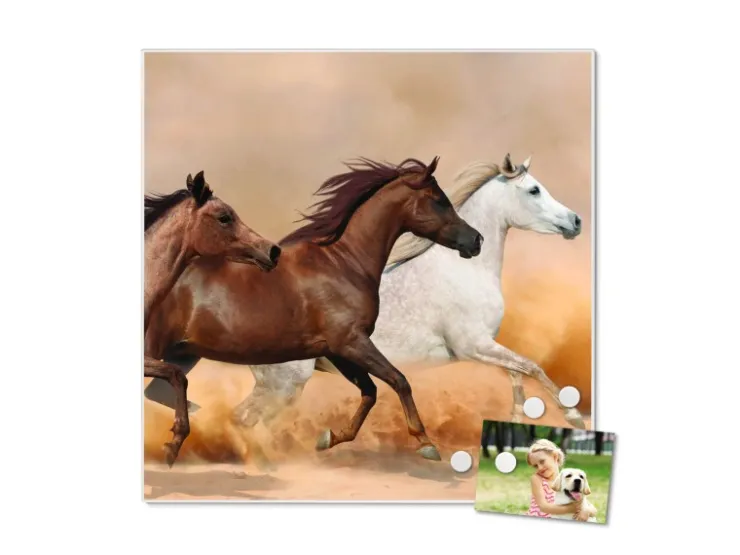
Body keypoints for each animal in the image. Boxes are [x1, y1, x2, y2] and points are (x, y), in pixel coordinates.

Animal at [225, 153, 587, 443]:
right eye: (534, 190)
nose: (576, 221)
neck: (463, 270)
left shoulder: (486, 346)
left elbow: (518, 373)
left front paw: (516, 417)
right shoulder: (473, 346)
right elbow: (532, 367)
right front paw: (573, 416)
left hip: (280, 385)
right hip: (287, 383)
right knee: (247, 419)